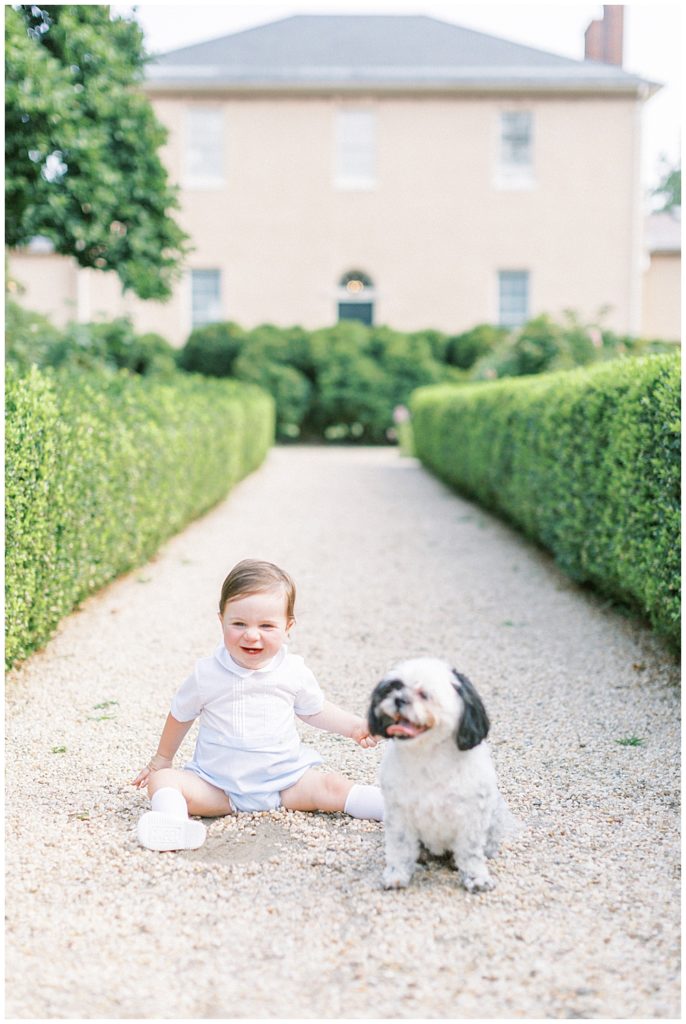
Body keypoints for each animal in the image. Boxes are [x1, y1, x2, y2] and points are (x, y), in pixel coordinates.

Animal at [370, 659, 516, 892]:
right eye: (394, 687)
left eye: (424, 694)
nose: (399, 699)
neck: (428, 757)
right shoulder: (398, 815)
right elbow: (400, 849)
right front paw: (396, 875)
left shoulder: (471, 819)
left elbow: (470, 854)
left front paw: (476, 878)